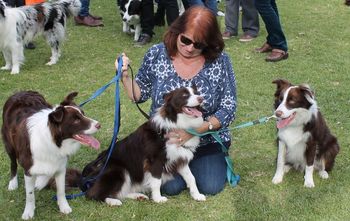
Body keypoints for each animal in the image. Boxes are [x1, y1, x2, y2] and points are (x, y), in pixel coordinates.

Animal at [1, 90, 100, 220]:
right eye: (76, 120)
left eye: (83, 114)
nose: (99, 125)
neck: (53, 141)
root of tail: (20, 92)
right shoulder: (28, 169)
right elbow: (30, 195)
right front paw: (28, 212)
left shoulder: (61, 165)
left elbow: (61, 190)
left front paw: (63, 206)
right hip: (9, 145)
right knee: (13, 163)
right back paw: (13, 183)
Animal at [78, 86, 206, 205]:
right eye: (184, 95)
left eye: (196, 92)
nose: (201, 98)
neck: (175, 122)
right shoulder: (154, 160)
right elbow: (157, 180)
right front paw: (158, 198)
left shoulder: (180, 157)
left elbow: (191, 178)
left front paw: (197, 195)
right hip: (119, 170)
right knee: (93, 194)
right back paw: (113, 202)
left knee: (121, 192)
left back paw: (137, 196)